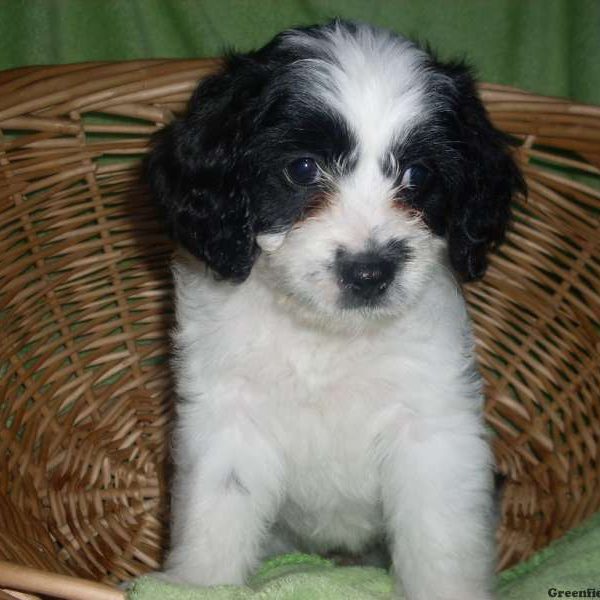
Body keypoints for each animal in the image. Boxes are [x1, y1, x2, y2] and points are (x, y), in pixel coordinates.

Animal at [146, 18, 524, 600]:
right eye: (303, 169)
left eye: (417, 175)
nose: (369, 271)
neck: (327, 338)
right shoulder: (226, 417)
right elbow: (217, 514)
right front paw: (198, 585)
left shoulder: (436, 428)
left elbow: (441, 544)